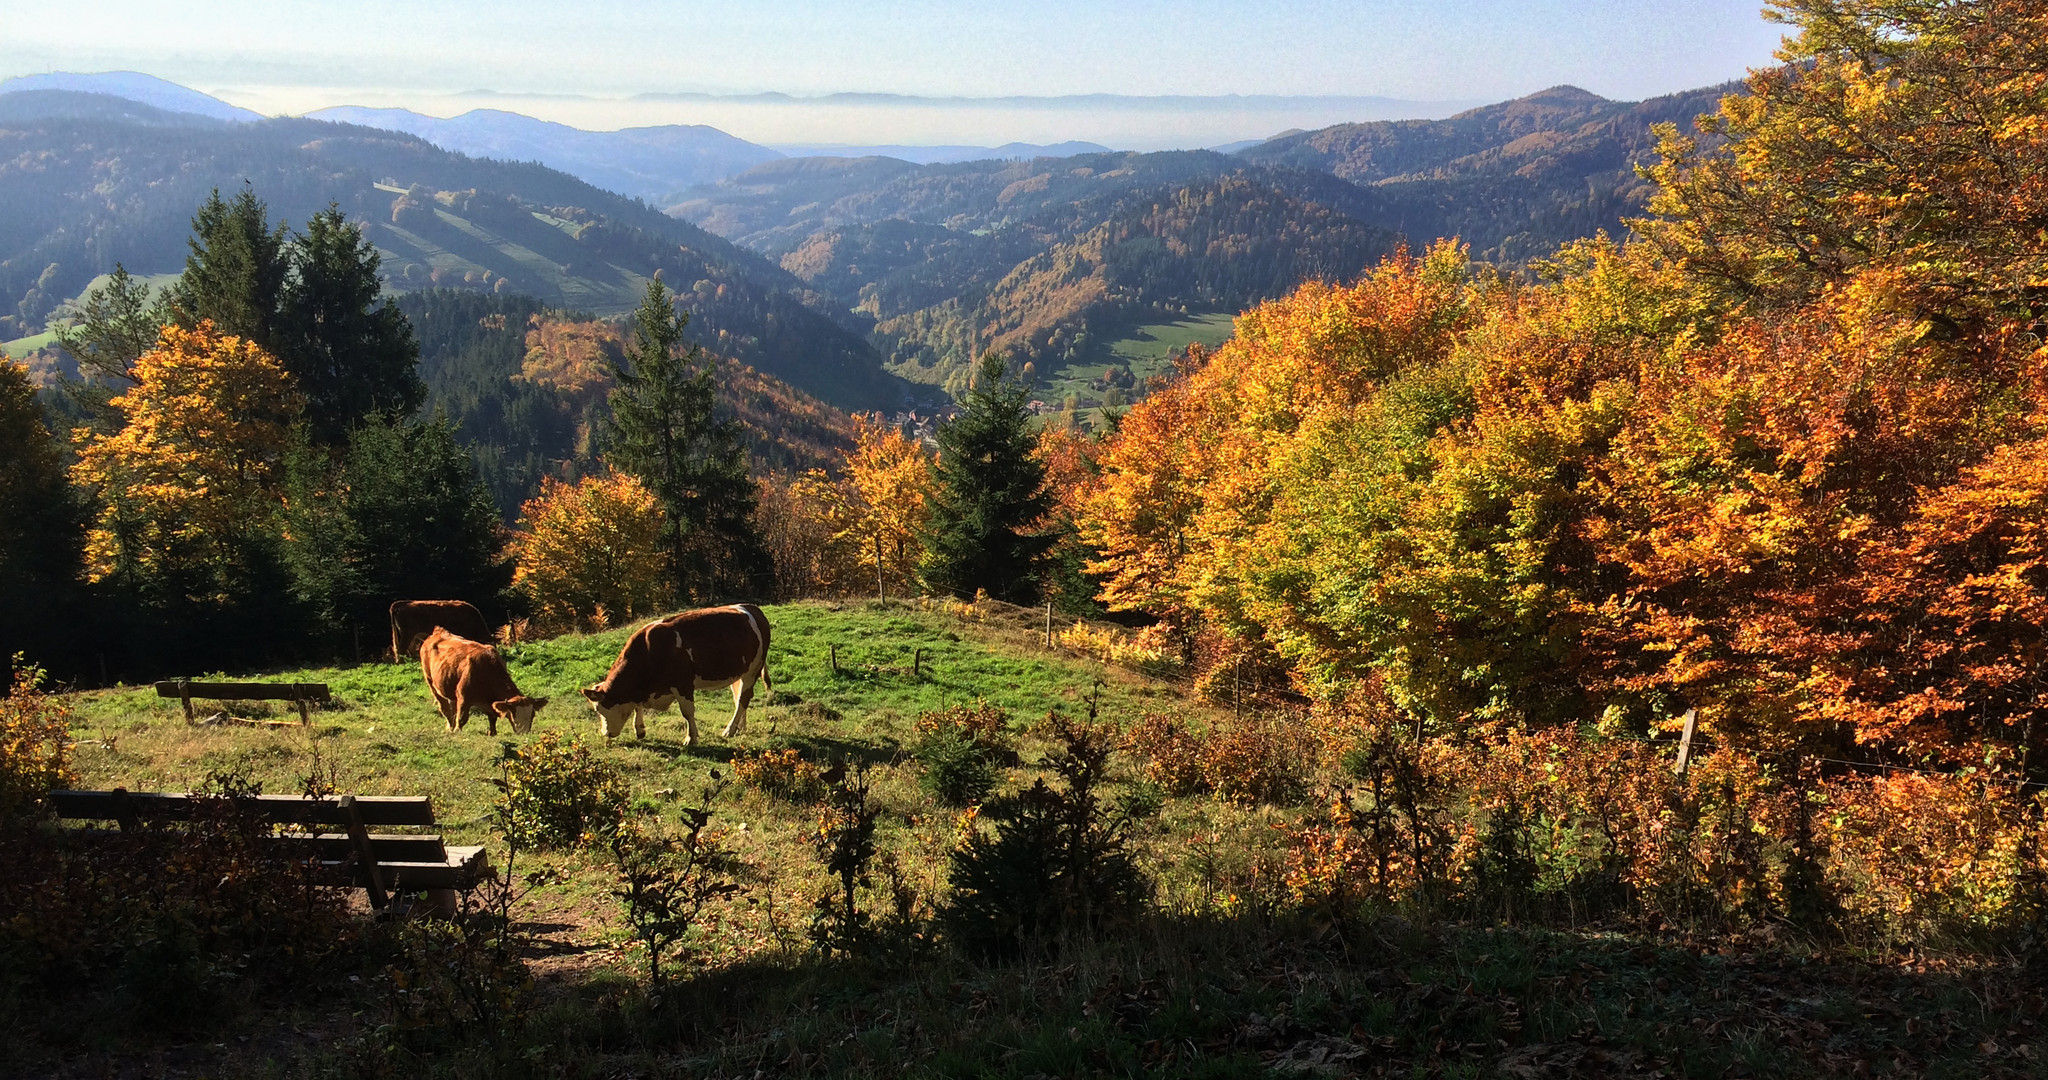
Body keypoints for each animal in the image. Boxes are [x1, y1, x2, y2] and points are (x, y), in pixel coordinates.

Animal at [417, 631, 552, 737]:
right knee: (444, 708)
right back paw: (451, 727)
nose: (523, 734)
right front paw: (457, 731)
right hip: (431, 683)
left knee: (452, 707)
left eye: (532, 715)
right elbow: (462, 717)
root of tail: (437, 633)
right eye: (514, 716)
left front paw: (492, 732)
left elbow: (492, 716)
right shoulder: (463, 697)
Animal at [585, 602, 774, 750]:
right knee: (738, 698)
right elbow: (638, 706)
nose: (605, 733)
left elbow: (687, 712)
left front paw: (691, 738)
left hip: (752, 670)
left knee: (744, 698)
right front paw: (639, 729)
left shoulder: (683, 684)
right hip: (738, 673)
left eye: (598, 709)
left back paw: (730, 729)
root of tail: (752, 608)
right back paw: (740, 727)